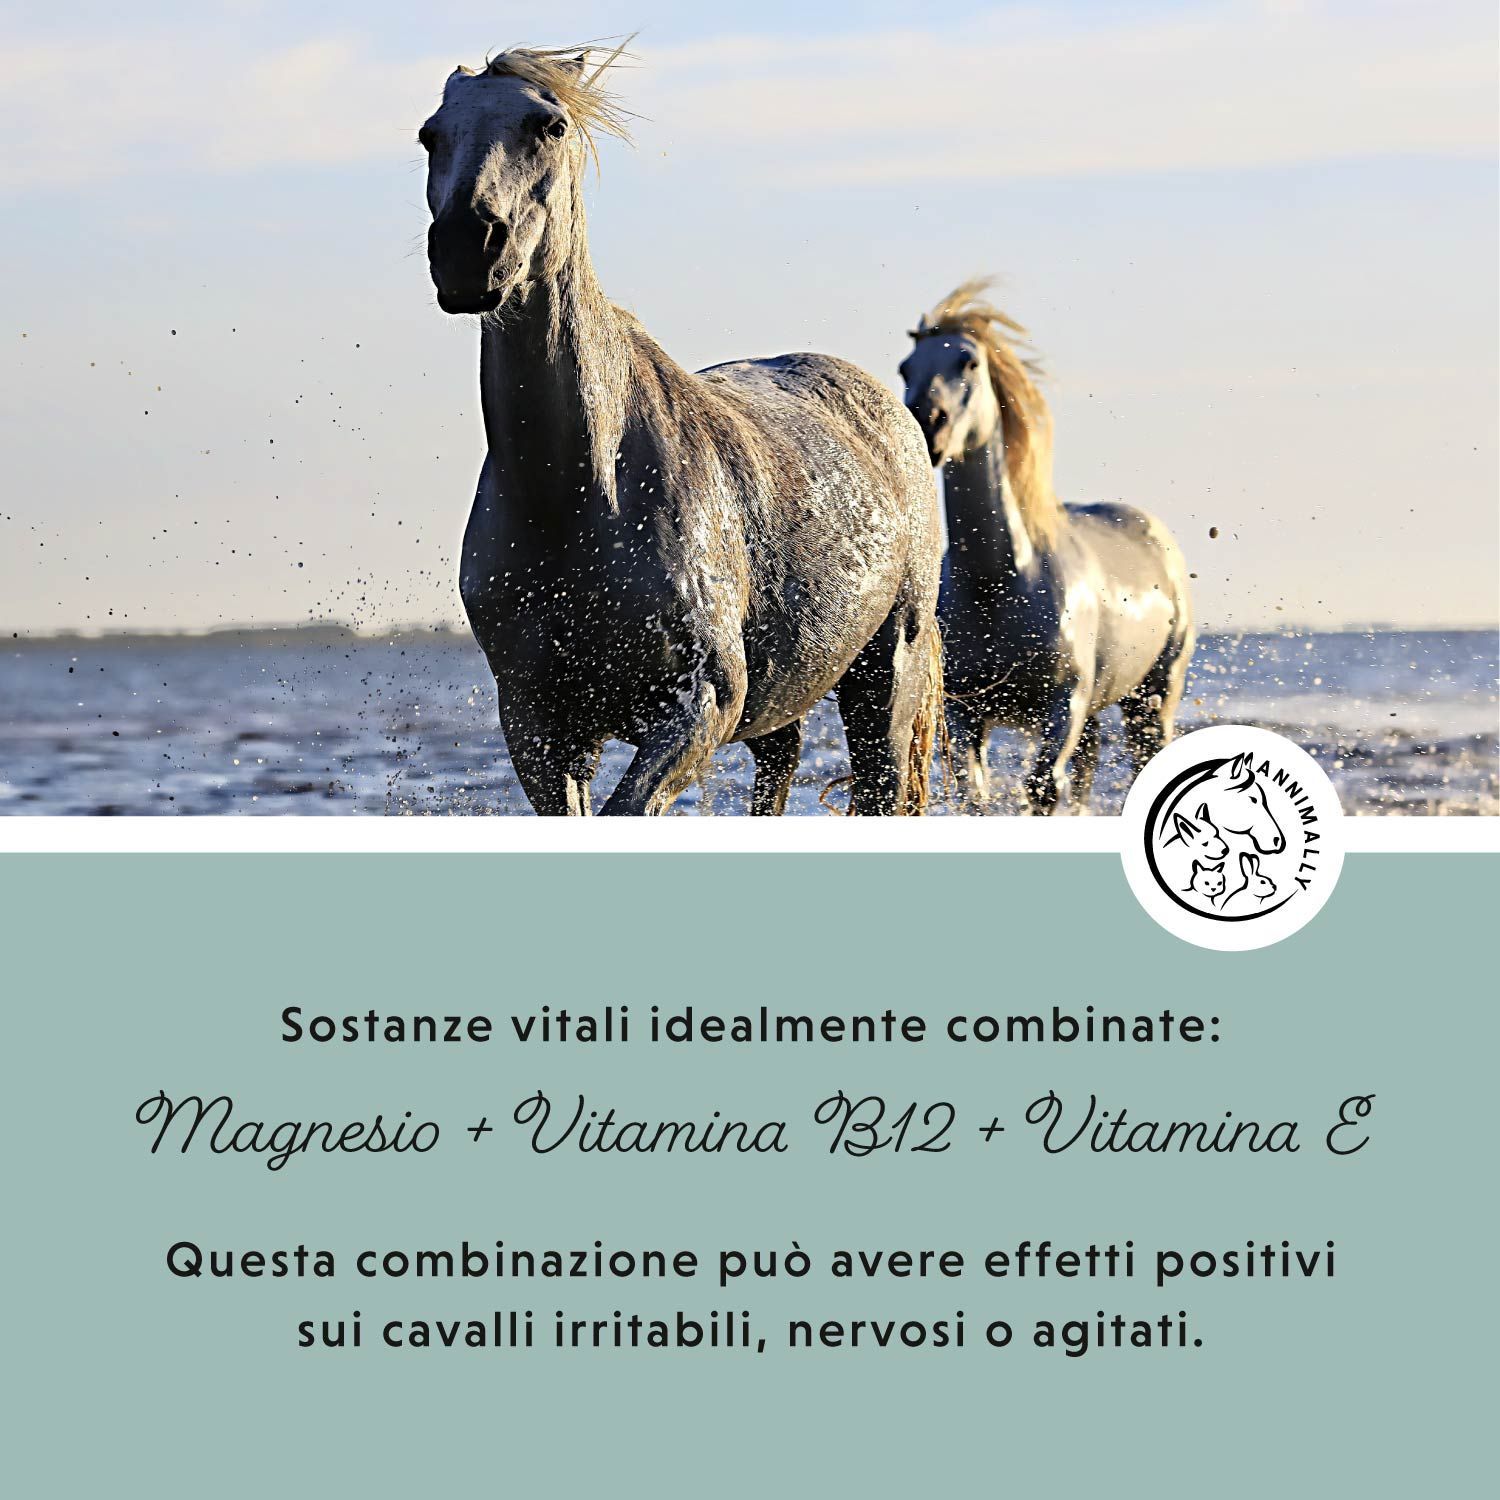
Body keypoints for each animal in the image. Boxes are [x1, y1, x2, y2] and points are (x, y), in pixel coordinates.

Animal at [419, 45, 942, 815]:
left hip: (886, 674)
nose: (467, 246)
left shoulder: (698, 704)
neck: (577, 494)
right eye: (431, 135)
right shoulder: (539, 727)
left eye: (549, 125)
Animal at [898, 280, 1194, 813]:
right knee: (1087, 767)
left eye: (968, 362)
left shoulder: (1064, 702)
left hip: (1154, 695)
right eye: (906, 367)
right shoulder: (967, 709)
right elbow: (977, 795)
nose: (928, 423)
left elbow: (1041, 788)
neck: (999, 580)